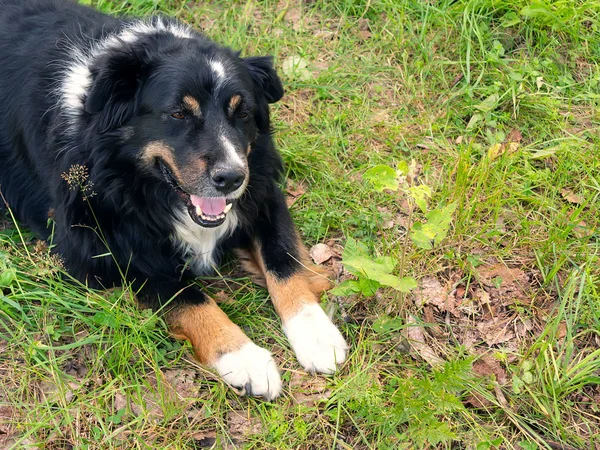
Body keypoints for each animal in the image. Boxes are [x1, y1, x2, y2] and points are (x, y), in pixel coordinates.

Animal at [0, 0, 346, 400]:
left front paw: (316, 334)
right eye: (178, 113)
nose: (231, 179)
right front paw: (243, 357)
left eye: (242, 112)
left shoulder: (261, 188)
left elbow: (283, 259)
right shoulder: (95, 247)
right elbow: (185, 294)